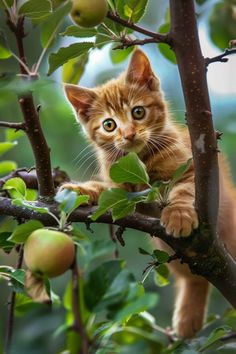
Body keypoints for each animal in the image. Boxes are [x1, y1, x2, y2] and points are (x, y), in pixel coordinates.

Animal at [62, 48, 236, 338]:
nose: (129, 134)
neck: (139, 159)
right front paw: (81, 189)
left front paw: (178, 215)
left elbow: (183, 192)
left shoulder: (191, 170)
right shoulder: (125, 190)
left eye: (138, 112)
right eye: (109, 125)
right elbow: (109, 192)